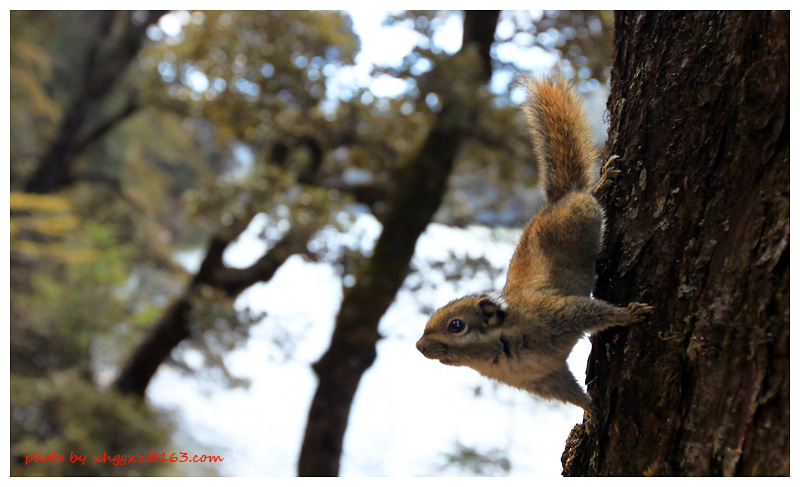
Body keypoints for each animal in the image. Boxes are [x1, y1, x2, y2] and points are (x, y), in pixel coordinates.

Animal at [416, 74, 652, 414]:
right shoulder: (544, 377)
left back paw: (602, 183)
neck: (503, 347)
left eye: (456, 325)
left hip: (582, 215)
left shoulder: (558, 313)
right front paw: (591, 413)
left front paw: (629, 314)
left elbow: (594, 312)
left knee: (588, 197)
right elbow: (570, 392)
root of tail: (556, 202)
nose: (420, 346)